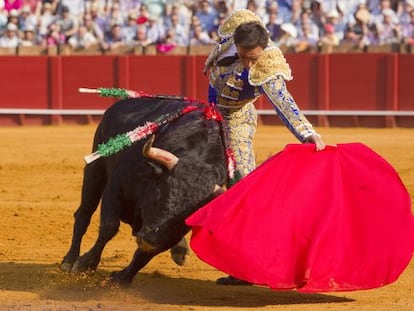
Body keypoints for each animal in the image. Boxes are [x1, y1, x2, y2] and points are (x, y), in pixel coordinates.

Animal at [61, 97, 228, 286]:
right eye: (161, 194)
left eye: (187, 219)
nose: (149, 241)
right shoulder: (115, 188)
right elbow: (109, 227)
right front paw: (86, 264)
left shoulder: (163, 234)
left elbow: (146, 254)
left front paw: (122, 278)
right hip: (95, 170)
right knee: (84, 214)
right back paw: (70, 259)